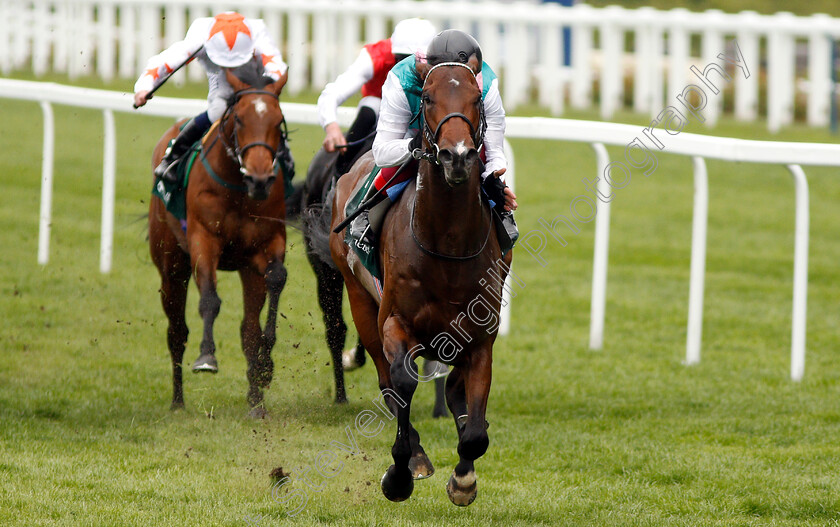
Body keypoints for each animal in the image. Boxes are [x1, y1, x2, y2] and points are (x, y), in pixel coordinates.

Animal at [146, 68, 288, 418]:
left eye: (278, 120)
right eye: (238, 119)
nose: (260, 179)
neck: (238, 189)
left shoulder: (267, 243)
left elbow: (276, 279)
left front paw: (265, 366)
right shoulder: (203, 240)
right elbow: (210, 299)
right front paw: (207, 357)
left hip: (247, 272)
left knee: (248, 330)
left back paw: (256, 402)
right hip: (171, 267)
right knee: (176, 331)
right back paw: (178, 401)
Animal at [330, 55, 512, 506]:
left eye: (475, 97)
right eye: (427, 97)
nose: (457, 156)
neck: (447, 244)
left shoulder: (479, 338)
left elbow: (475, 430)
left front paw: (464, 478)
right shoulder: (396, 324)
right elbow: (400, 383)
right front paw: (400, 471)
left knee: (452, 391)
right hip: (360, 300)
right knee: (385, 379)